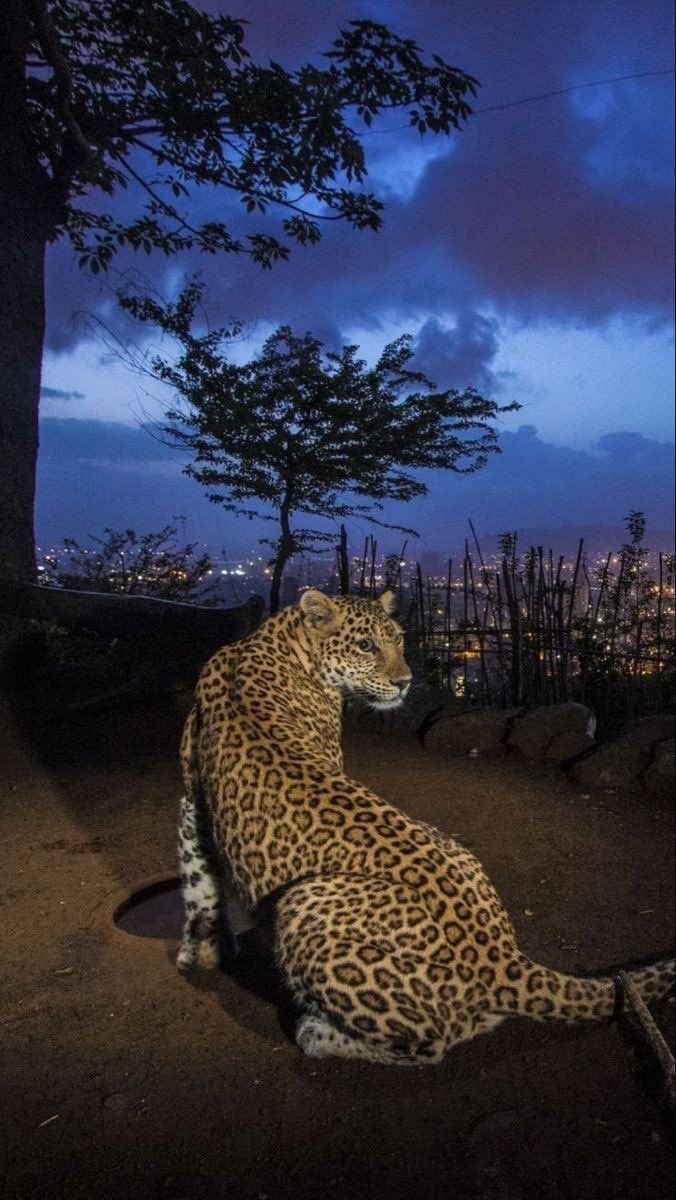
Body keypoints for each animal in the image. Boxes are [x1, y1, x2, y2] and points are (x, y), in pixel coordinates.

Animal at [177, 588, 674, 1065]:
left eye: (399, 639)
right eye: (365, 645)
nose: (405, 682)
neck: (275, 638)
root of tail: (503, 958)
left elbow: (198, 878)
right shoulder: (191, 800)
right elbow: (198, 881)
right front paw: (204, 949)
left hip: (301, 903)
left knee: (430, 1043)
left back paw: (320, 1034)